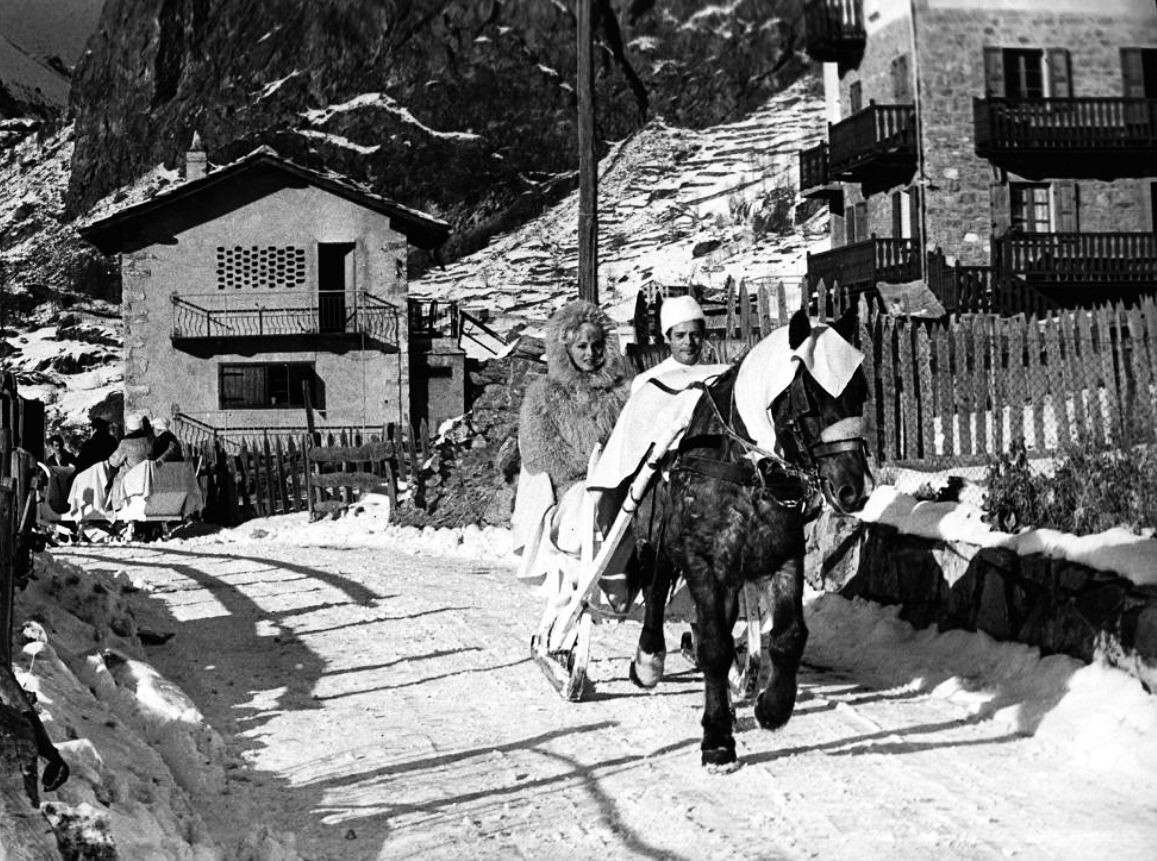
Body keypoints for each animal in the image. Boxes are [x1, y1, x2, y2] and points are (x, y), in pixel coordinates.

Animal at [627, 307, 874, 767]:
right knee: (654, 586)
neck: (746, 469)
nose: (855, 488)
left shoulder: (784, 554)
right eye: (809, 397)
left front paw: (772, 706)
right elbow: (714, 646)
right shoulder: (704, 562)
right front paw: (717, 738)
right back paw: (650, 658)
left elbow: (789, 634)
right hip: (656, 535)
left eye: (860, 392)